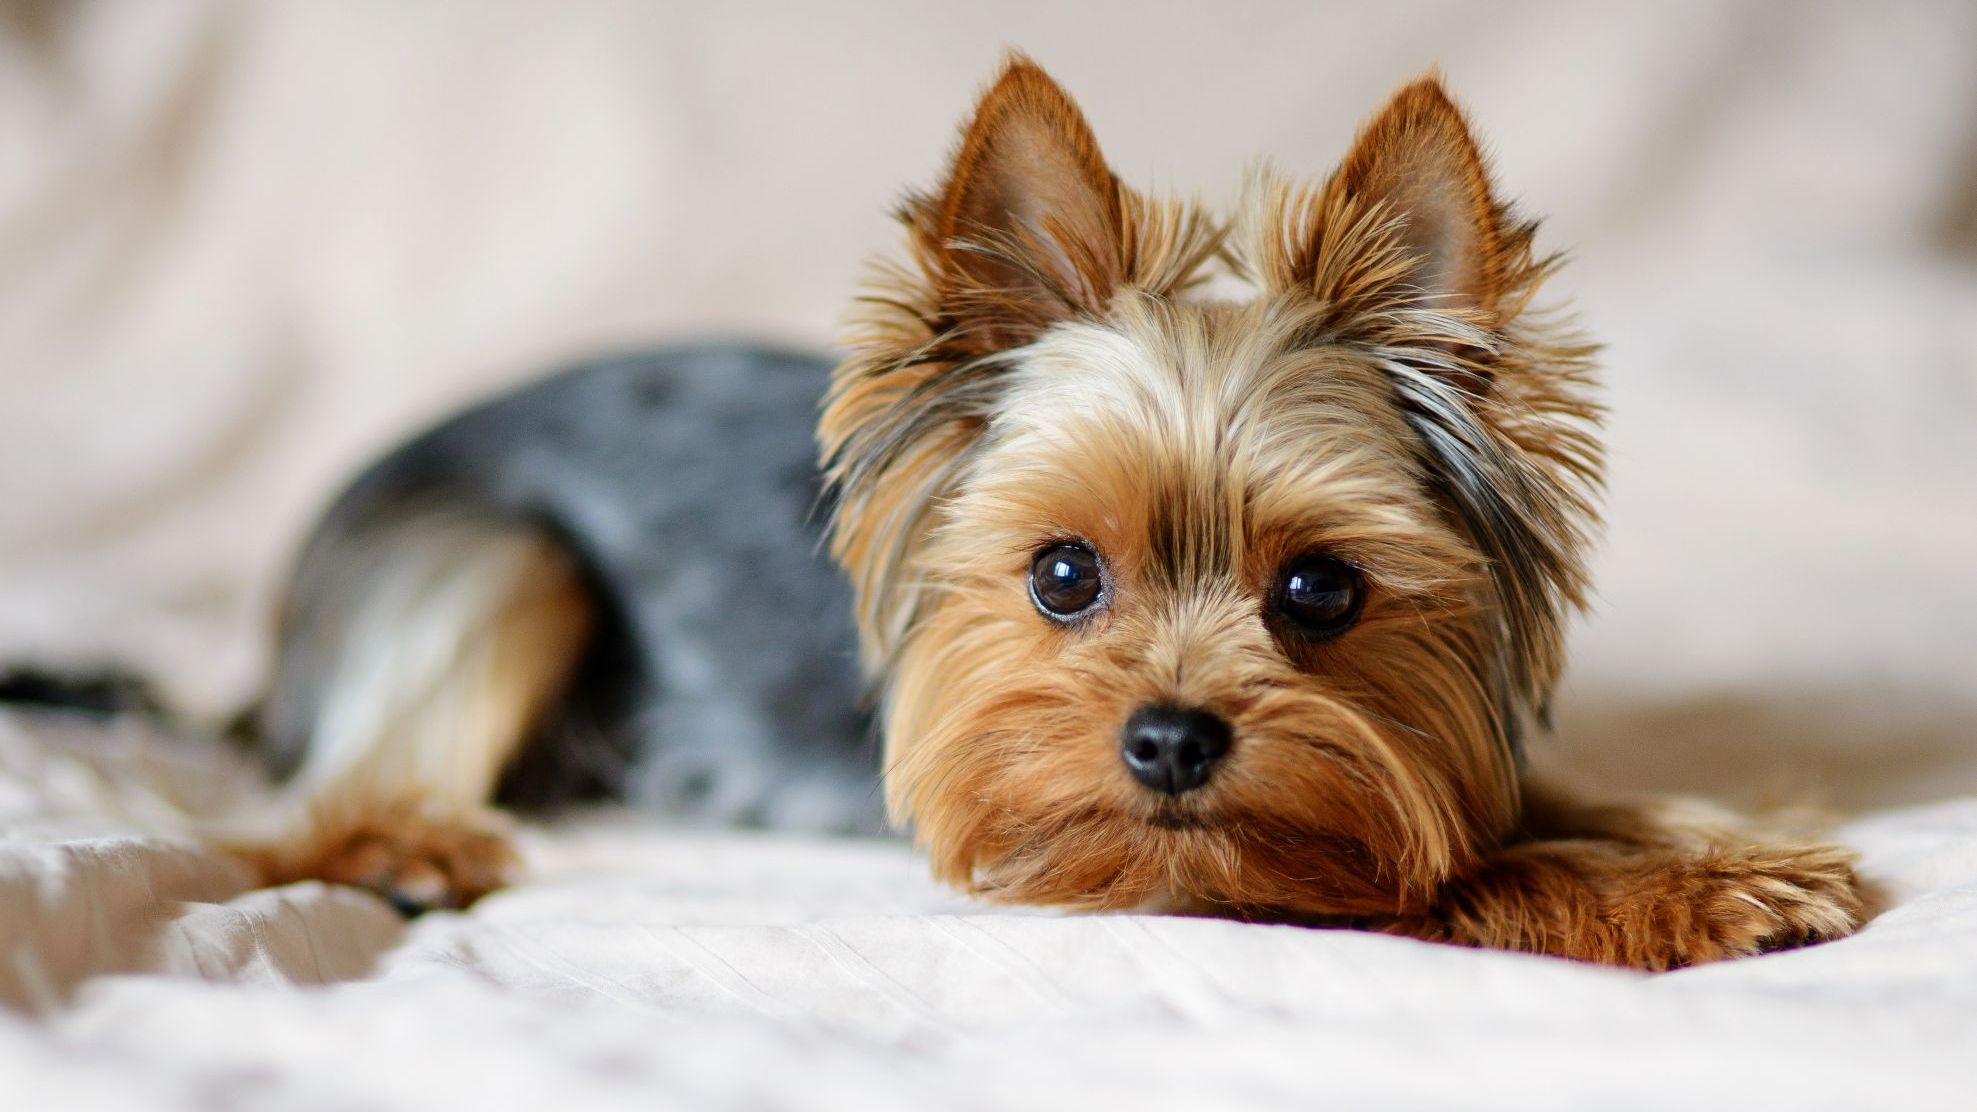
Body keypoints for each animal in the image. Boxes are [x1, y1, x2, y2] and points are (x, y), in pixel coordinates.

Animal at [235, 56, 1866, 965]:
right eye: (1064, 574)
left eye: (1322, 590)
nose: (1170, 741)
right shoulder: (1115, 854)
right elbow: (1438, 872)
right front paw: (1692, 894)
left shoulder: (1405, 750)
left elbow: (1491, 803)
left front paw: (1724, 843)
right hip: (499, 553)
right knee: (335, 788)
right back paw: (402, 843)